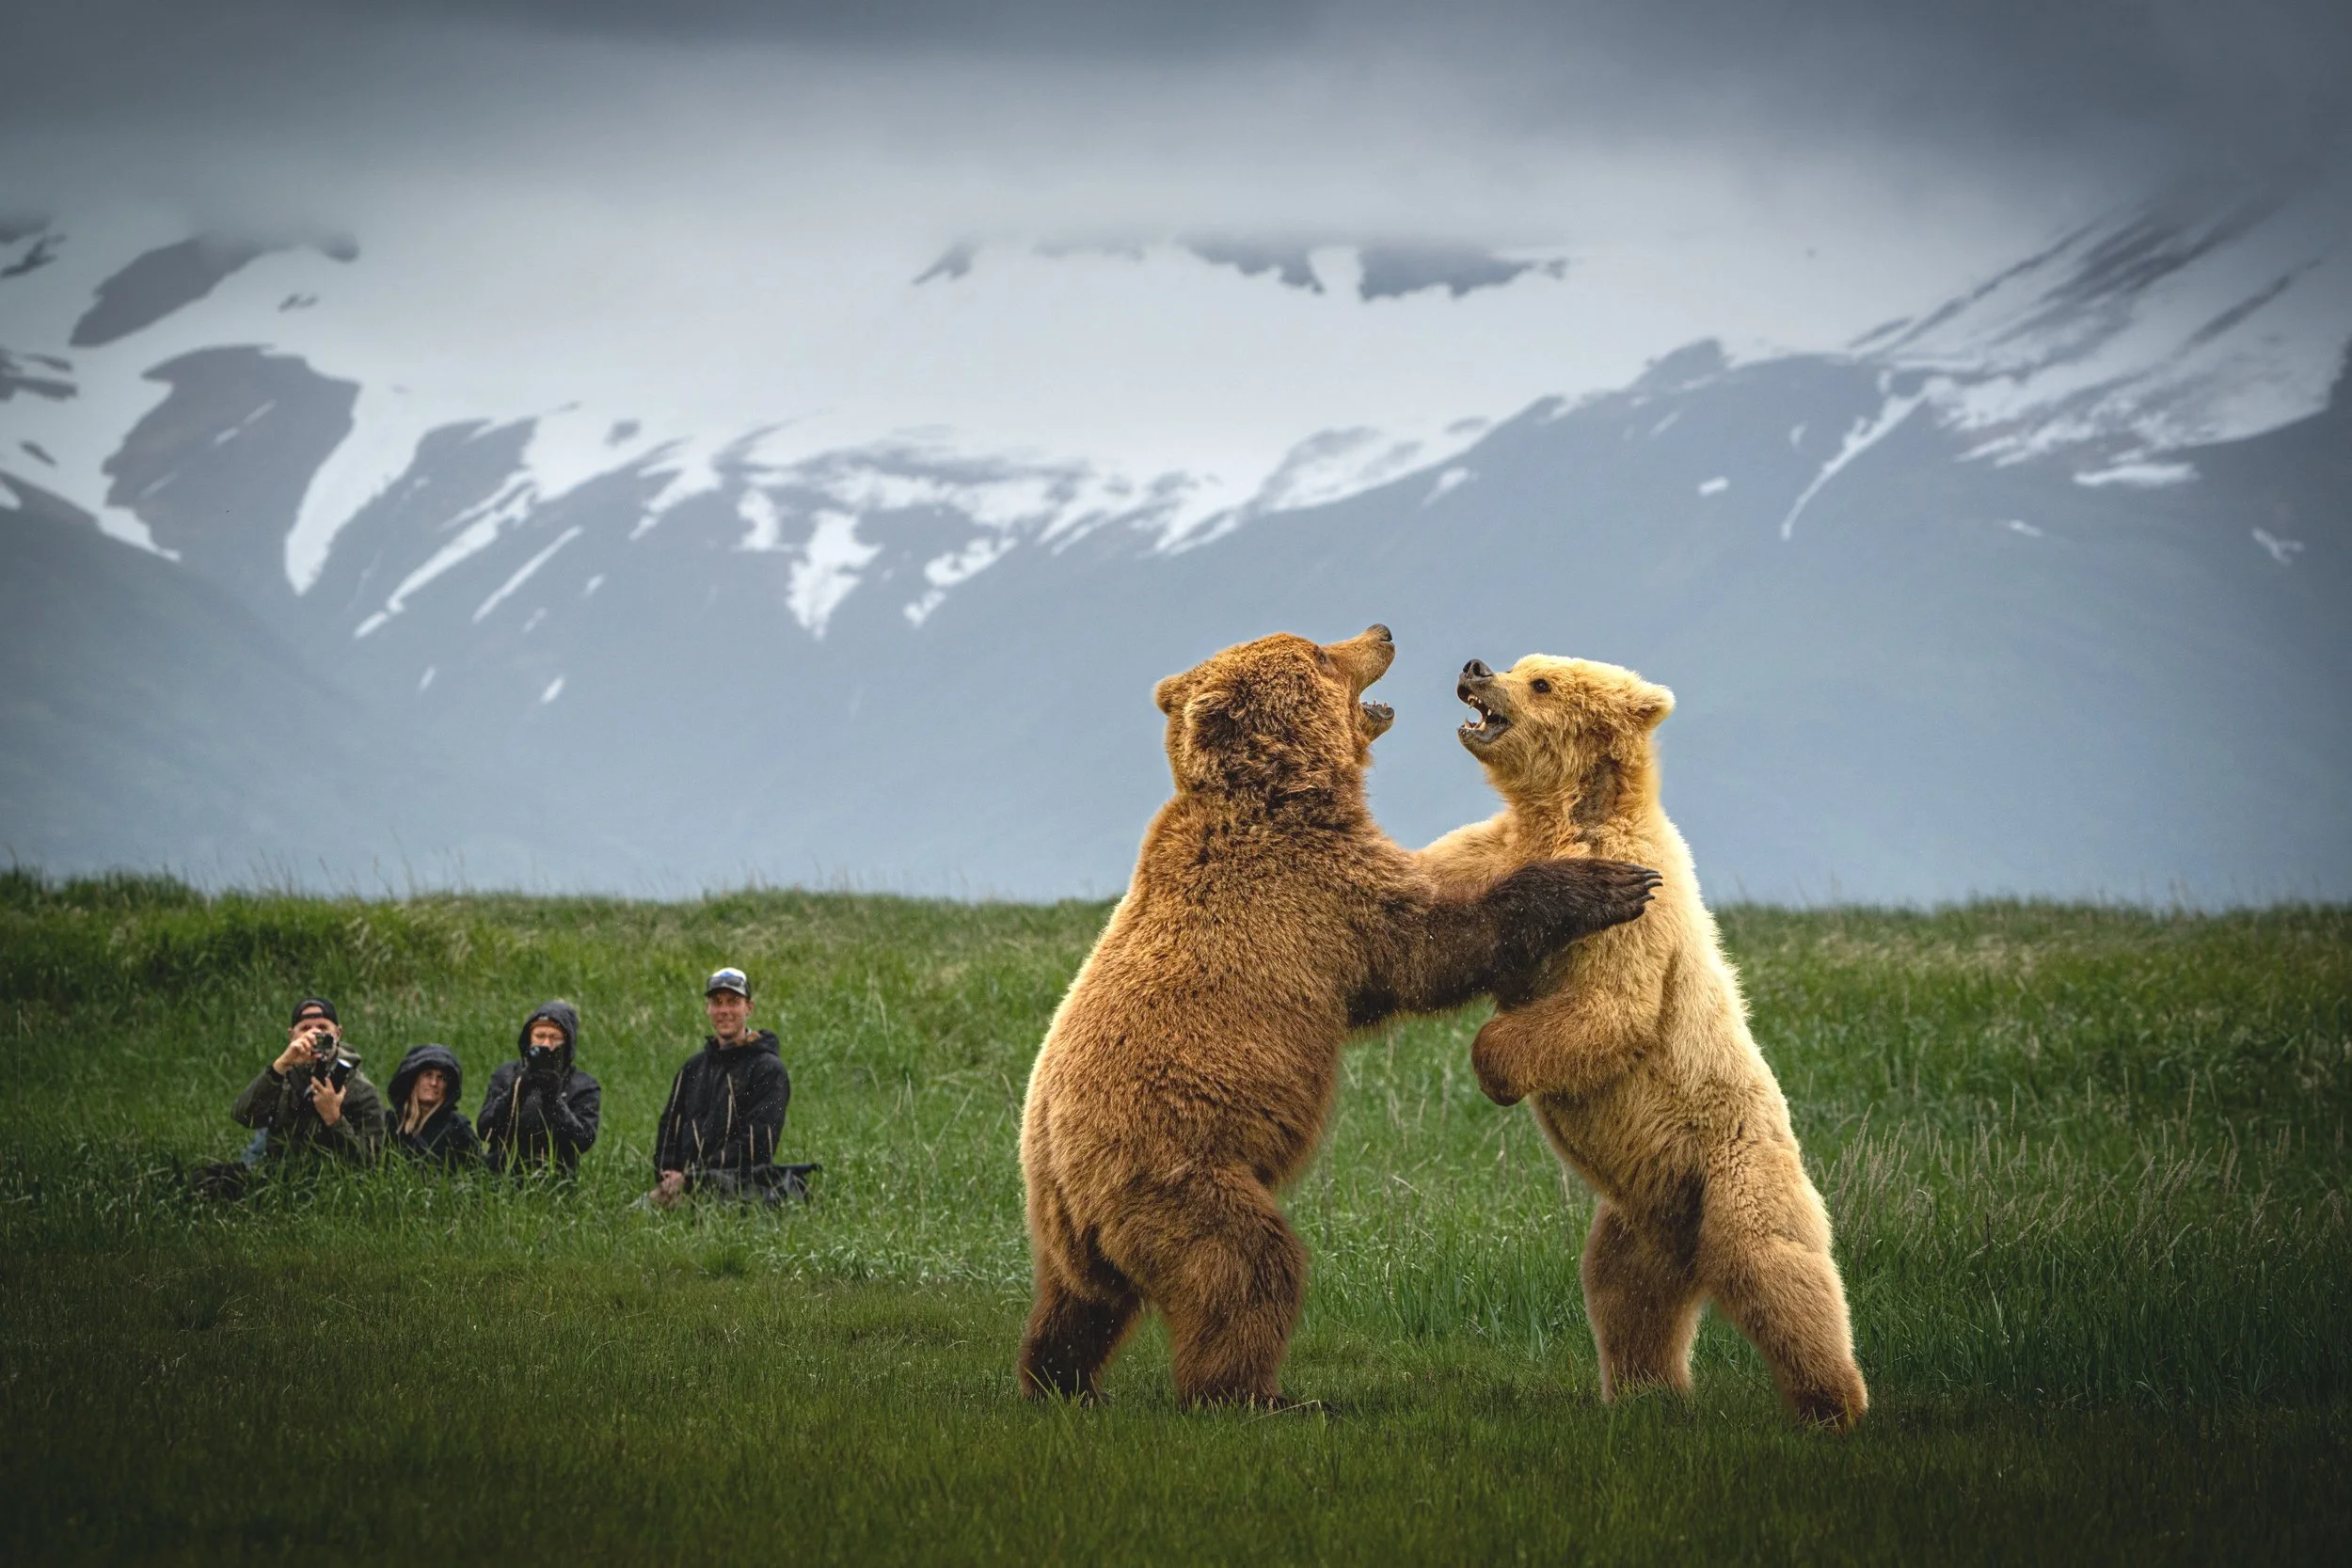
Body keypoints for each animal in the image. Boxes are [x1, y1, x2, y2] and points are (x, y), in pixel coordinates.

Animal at [1017, 625, 1661, 1408]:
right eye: (1320, 652)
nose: (1381, 631)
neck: (1287, 794)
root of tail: (1059, 1173)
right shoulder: (1319, 893)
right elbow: (1430, 947)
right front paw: (1608, 884)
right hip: (1173, 1173)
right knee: (1245, 1267)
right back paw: (1256, 1394)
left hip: (1065, 1231)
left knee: (1077, 1306)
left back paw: (1063, 1381)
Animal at [1419, 654, 1868, 1427]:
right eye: (1521, 663)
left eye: (1540, 682)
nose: (1475, 667)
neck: (1569, 817)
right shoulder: (1491, 852)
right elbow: (1426, 886)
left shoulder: (1638, 907)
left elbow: (1612, 1009)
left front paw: (1495, 1067)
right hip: (1642, 1215)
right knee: (1626, 1295)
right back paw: (1646, 1391)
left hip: (1736, 1168)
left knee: (1778, 1267)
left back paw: (1833, 1400)